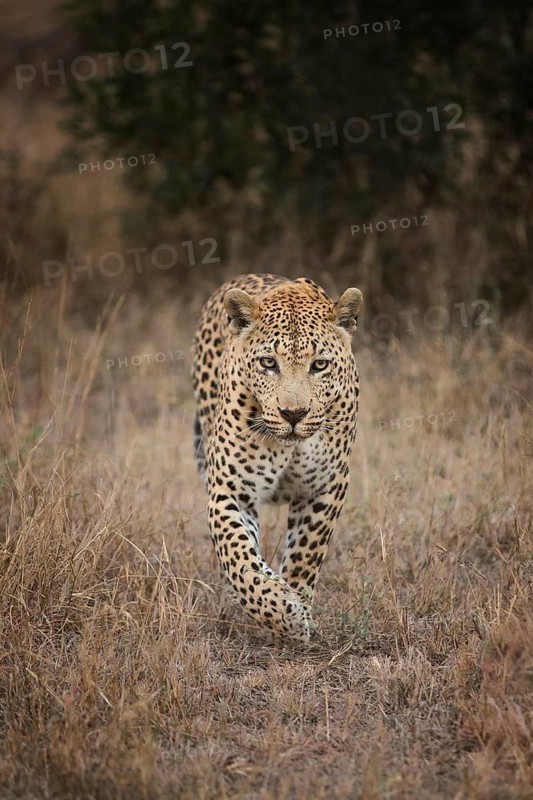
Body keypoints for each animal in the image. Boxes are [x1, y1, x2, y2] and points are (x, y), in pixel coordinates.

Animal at [191, 273, 363, 642]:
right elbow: (240, 558)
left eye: (319, 365)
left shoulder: (326, 486)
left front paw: (297, 608)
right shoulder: (230, 490)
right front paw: (283, 613)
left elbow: (305, 553)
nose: (293, 414)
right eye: (269, 363)